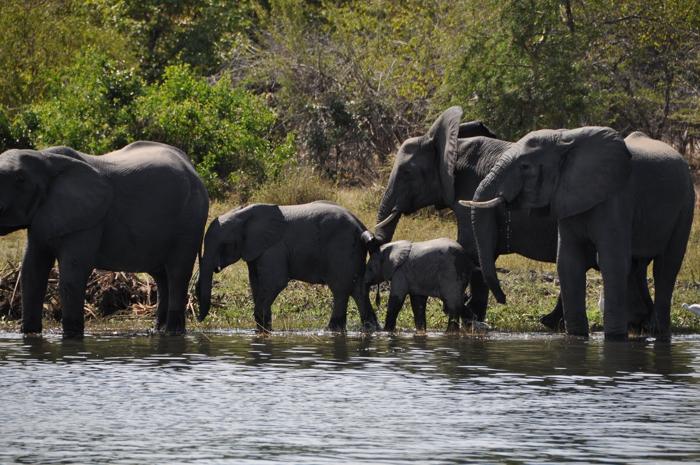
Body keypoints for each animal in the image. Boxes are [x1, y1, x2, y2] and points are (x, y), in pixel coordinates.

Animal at [0, 142, 208, 338]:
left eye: (20, 180)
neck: (45, 158)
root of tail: (191, 167)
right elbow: (31, 272)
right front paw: (29, 335)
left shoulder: (88, 220)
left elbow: (72, 276)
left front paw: (71, 337)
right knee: (161, 276)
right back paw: (158, 331)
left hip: (190, 220)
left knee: (177, 273)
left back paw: (173, 333)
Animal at [197, 201, 380, 332]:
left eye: (223, 245)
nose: (198, 319)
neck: (244, 213)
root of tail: (362, 227)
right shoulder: (255, 250)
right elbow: (256, 283)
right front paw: (263, 329)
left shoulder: (273, 248)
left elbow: (275, 282)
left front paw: (263, 326)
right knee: (358, 290)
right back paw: (372, 329)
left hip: (342, 247)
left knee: (340, 289)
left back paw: (330, 330)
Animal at [464, 129, 696, 338]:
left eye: (525, 166)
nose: (503, 299)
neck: (566, 138)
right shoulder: (567, 197)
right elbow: (568, 262)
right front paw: (576, 336)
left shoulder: (617, 198)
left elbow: (612, 262)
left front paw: (614, 337)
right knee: (637, 267)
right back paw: (642, 327)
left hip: (686, 204)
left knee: (666, 266)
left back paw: (658, 331)